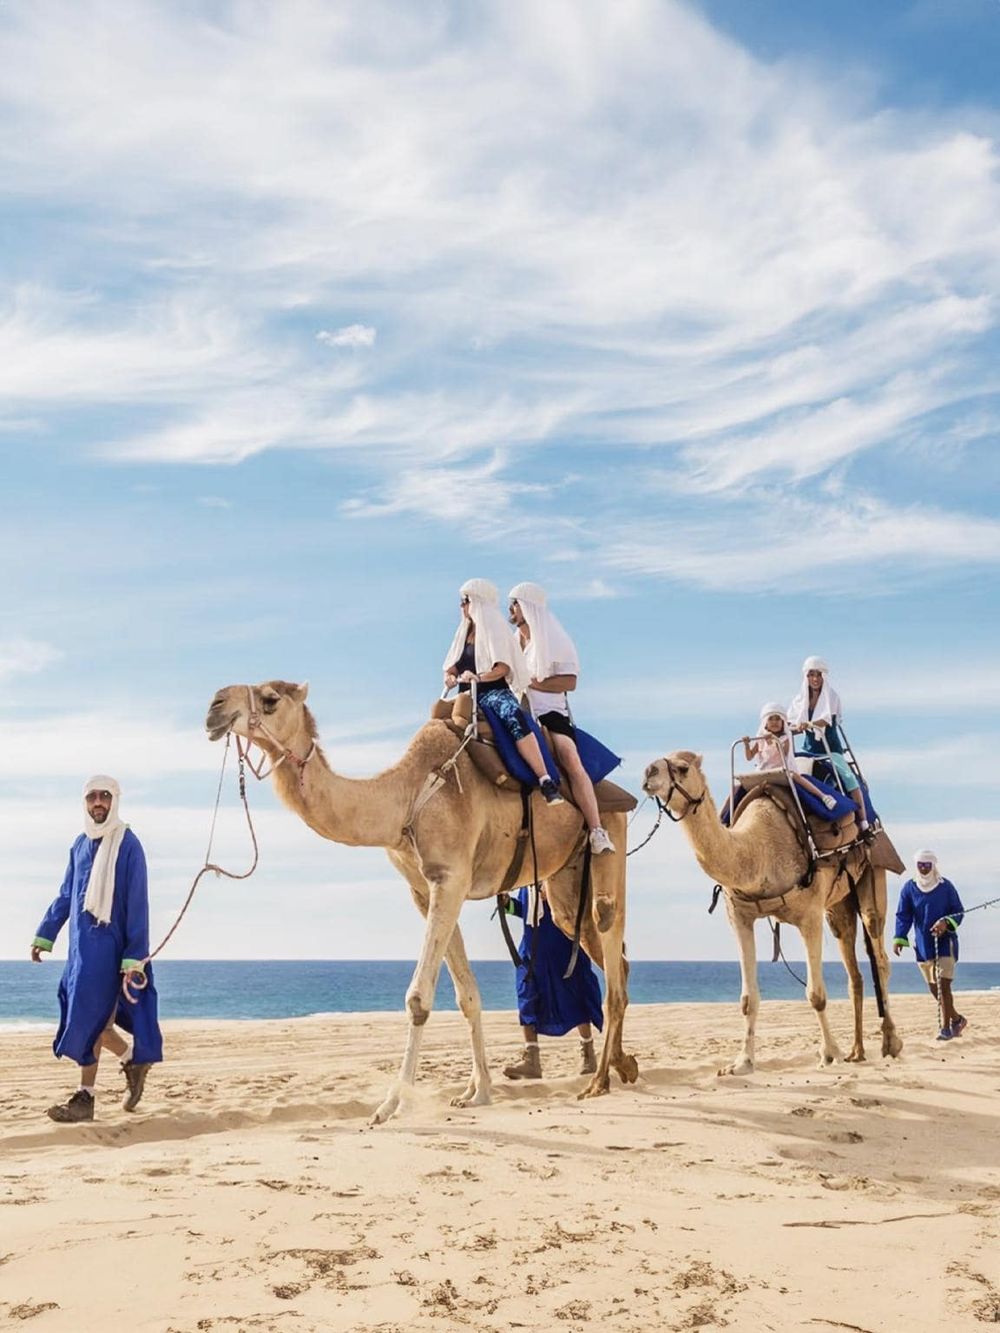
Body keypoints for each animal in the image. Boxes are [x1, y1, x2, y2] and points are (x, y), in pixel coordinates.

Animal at [205, 680, 638, 1123]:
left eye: (271, 699)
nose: (214, 708)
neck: (408, 798)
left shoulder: (450, 879)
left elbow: (417, 999)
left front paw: (390, 1104)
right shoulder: (424, 890)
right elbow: (467, 996)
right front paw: (477, 1092)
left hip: (609, 836)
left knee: (608, 940)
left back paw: (599, 1081)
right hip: (564, 884)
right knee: (611, 956)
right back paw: (624, 1065)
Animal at [642, 751, 903, 1074]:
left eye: (682, 768)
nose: (649, 773)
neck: (759, 851)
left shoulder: (809, 916)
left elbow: (816, 995)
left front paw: (829, 1054)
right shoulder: (739, 916)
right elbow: (748, 998)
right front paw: (741, 1063)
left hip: (873, 871)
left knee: (879, 953)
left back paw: (890, 1043)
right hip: (838, 905)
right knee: (852, 966)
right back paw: (857, 1051)